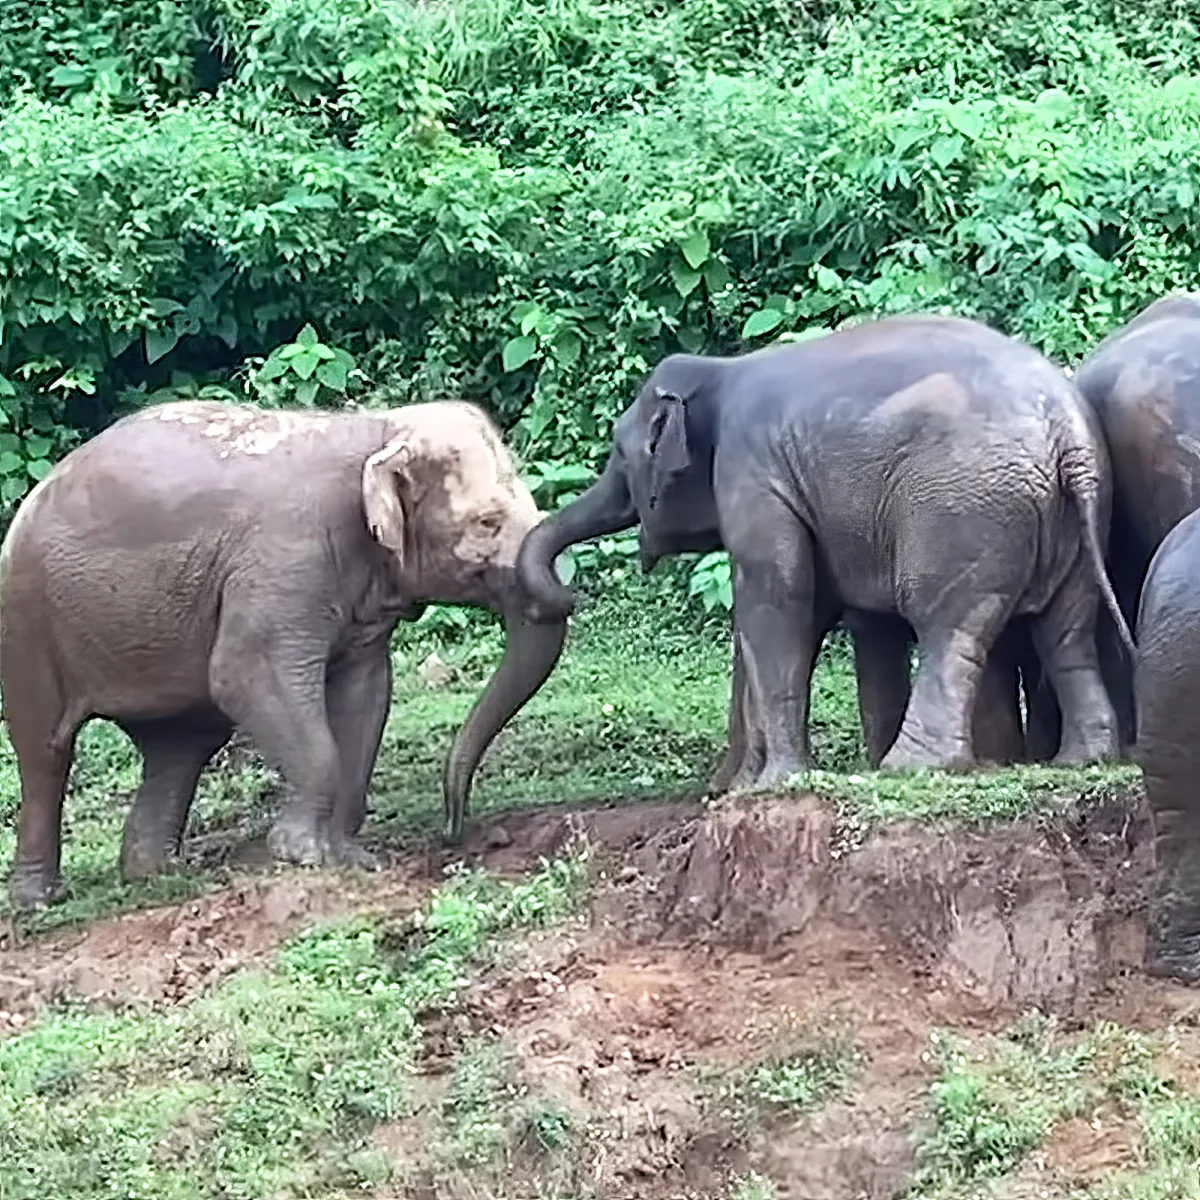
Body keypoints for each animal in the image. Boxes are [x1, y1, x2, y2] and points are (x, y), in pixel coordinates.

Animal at [0, 399, 568, 908]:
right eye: (488, 522)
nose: (454, 829)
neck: (377, 427)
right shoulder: (288, 560)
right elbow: (244, 675)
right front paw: (302, 856)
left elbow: (365, 695)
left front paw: (351, 857)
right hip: (26, 618)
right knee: (47, 750)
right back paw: (39, 900)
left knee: (181, 744)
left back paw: (157, 873)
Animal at [518, 314, 1132, 792]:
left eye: (621, 455)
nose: (567, 594)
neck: (720, 369)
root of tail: (1067, 433)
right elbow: (849, 622)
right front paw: (745, 786)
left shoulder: (752, 474)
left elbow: (780, 598)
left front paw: (775, 783)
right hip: (1082, 515)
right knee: (1066, 631)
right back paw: (1083, 758)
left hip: (966, 513)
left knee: (948, 628)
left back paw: (912, 767)